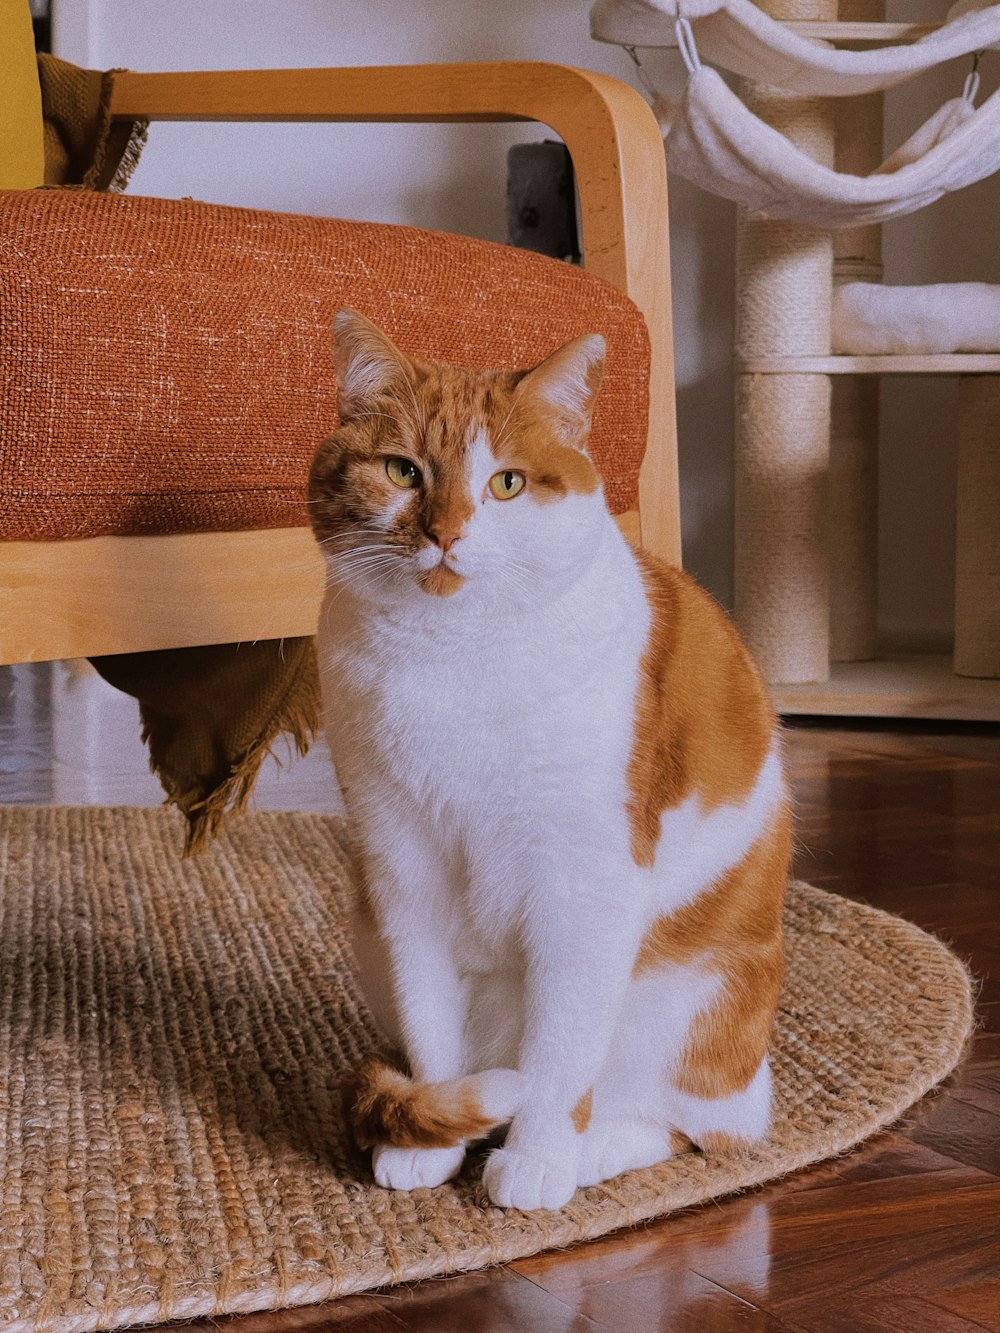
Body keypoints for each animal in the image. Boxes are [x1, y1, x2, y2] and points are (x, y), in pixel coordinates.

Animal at [309, 309, 794, 1210]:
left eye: (506, 483)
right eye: (401, 470)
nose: (445, 531)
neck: (451, 658)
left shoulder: (585, 878)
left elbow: (561, 1053)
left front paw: (533, 1157)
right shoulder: (399, 865)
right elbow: (431, 1024)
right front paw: (434, 1135)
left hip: (680, 1007)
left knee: (694, 1126)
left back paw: (584, 1153)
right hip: (368, 937)